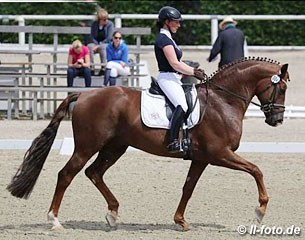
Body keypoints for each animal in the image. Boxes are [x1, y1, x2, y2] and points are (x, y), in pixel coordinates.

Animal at [6, 57, 288, 231]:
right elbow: (256, 170)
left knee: (94, 172)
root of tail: (85, 95)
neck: (223, 101)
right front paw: (260, 211)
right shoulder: (220, 154)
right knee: (66, 174)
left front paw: (180, 221)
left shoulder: (201, 158)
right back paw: (54, 221)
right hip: (87, 146)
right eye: (282, 89)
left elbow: (188, 188)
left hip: (115, 147)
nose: (277, 120)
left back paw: (113, 214)